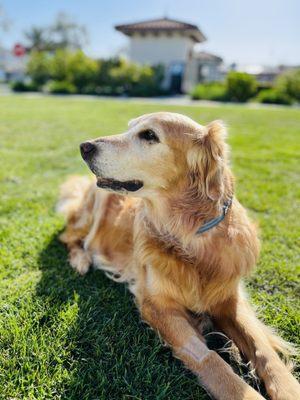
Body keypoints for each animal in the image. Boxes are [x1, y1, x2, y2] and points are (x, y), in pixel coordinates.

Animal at [57, 112, 298, 400]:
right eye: (129, 128)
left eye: (149, 135)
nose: (84, 147)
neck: (188, 235)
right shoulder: (158, 306)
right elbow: (209, 358)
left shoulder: (229, 299)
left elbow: (263, 349)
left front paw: (288, 388)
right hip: (94, 207)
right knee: (70, 237)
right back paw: (81, 261)